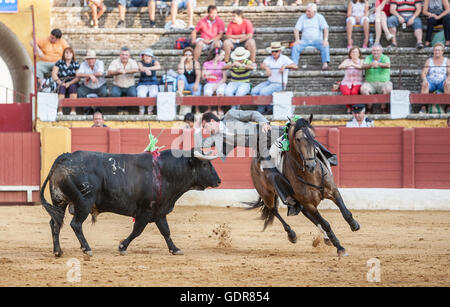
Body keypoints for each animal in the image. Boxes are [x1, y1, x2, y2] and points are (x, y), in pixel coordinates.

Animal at [41, 149, 221, 258]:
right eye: (205, 164)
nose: (219, 180)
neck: (164, 172)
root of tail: (65, 157)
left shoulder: (159, 211)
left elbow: (166, 231)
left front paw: (175, 249)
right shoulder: (145, 211)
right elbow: (137, 231)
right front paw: (122, 247)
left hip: (59, 202)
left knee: (55, 223)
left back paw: (58, 251)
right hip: (84, 203)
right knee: (75, 224)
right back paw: (87, 249)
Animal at [248, 115, 360, 258]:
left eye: (313, 136)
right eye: (298, 139)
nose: (311, 165)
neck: (311, 175)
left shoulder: (333, 191)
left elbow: (345, 212)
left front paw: (354, 225)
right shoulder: (309, 204)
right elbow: (326, 223)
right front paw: (340, 248)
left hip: (299, 203)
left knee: (309, 217)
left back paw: (326, 238)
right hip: (267, 195)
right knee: (274, 210)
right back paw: (292, 234)